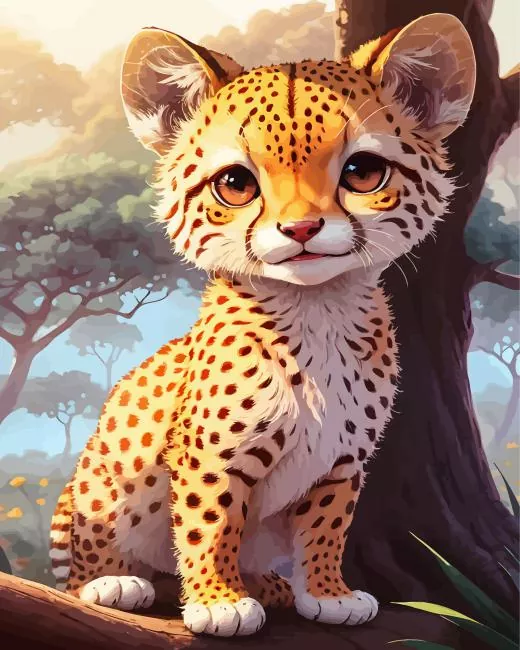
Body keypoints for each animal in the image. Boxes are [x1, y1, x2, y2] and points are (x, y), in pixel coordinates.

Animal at [50, 13, 475, 637]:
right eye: (235, 183)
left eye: (363, 172)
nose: (300, 229)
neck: (316, 310)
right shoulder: (210, 456)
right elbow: (210, 523)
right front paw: (218, 600)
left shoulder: (342, 464)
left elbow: (326, 528)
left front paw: (325, 592)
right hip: (98, 482)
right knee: (87, 552)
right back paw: (114, 581)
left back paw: (270, 584)